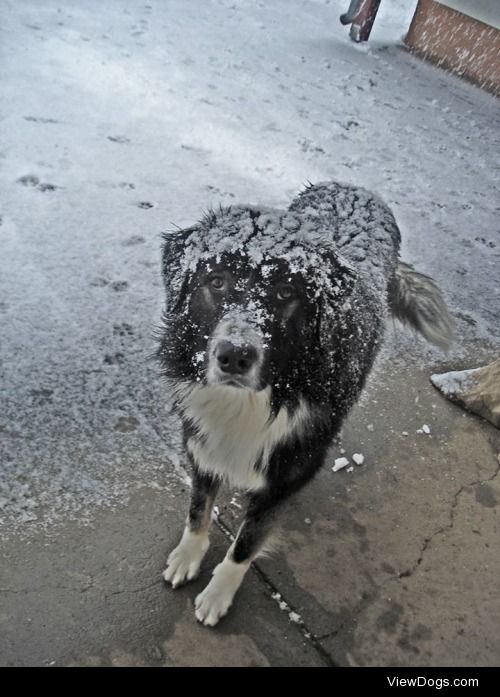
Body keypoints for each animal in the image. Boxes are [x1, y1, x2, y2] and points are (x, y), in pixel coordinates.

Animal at [157, 179, 454, 624]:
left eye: (285, 292)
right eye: (217, 280)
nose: (234, 356)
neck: (258, 398)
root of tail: (355, 187)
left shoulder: (284, 477)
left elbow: (245, 544)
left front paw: (218, 594)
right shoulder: (201, 443)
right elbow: (198, 508)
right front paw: (187, 555)